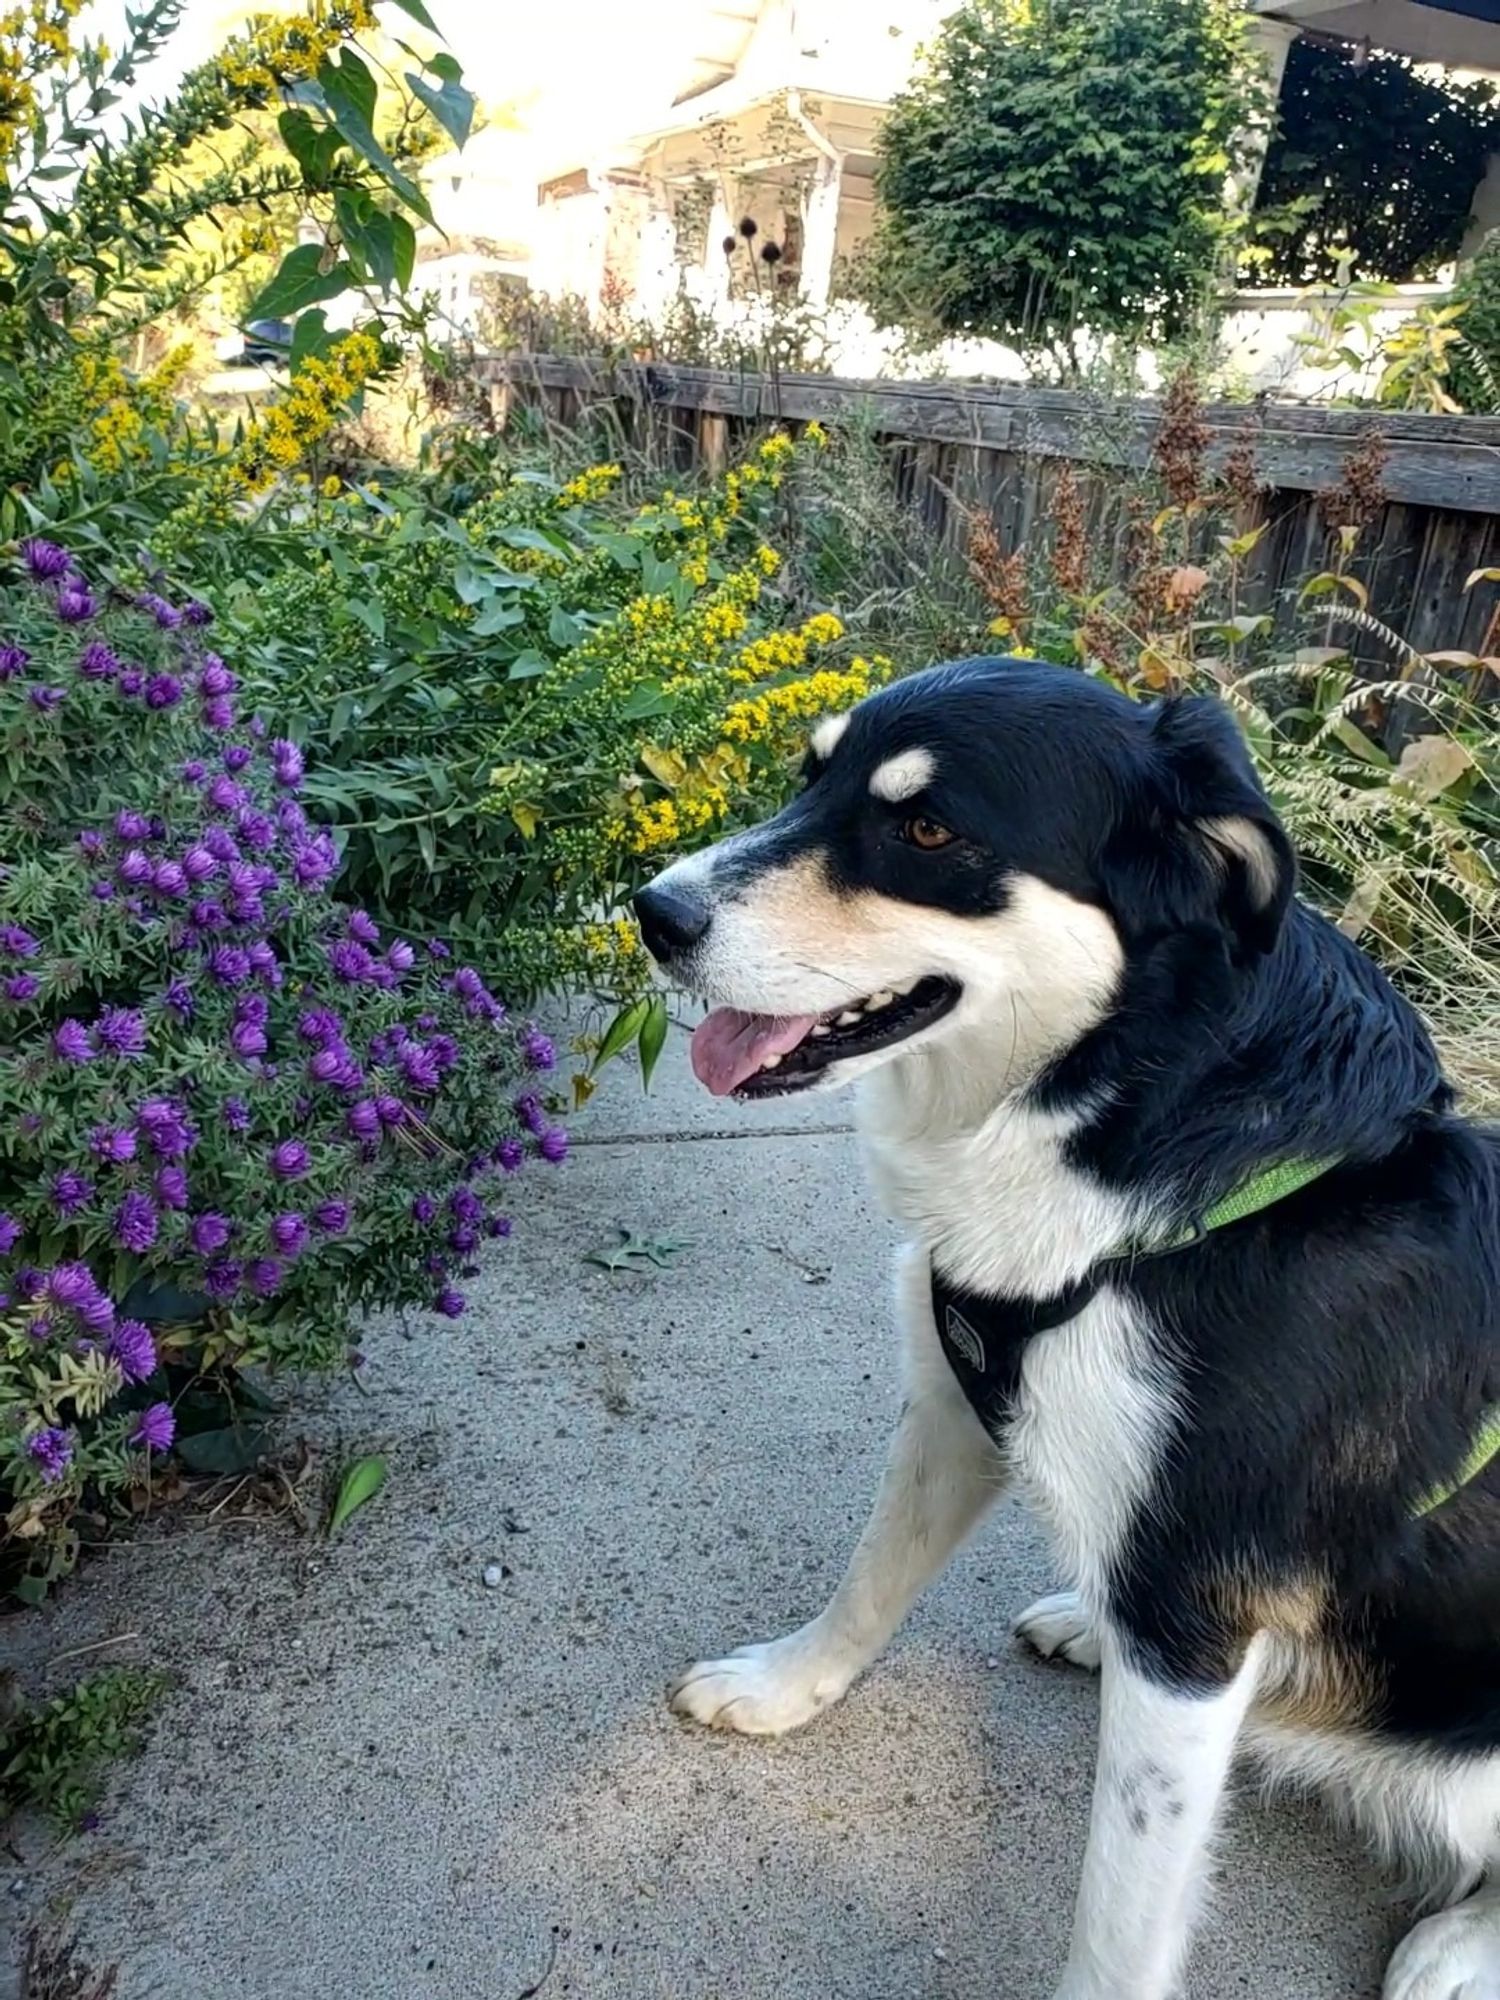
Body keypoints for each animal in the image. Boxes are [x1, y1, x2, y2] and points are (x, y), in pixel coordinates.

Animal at [632, 660, 1500, 2000]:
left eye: (930, 832)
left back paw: (1460, 1941)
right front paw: (785, 1686)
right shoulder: (955, 1404)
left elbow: (1121, 1910)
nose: (652, 912)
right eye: (809, 773)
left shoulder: (1192, 1610)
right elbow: (869, 1579)